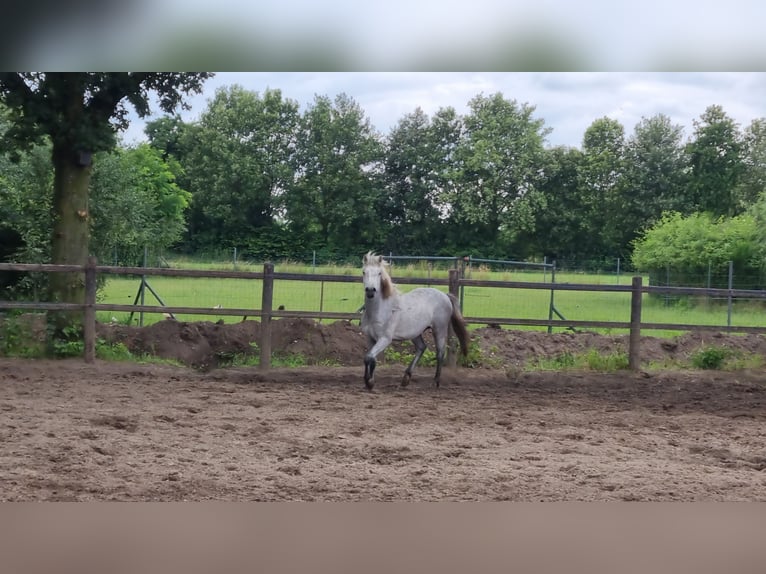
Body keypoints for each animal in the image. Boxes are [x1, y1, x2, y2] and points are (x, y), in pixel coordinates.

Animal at [364, 253, 472, 392]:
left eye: (379, 273)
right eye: (364, 272)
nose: (370, 290)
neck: (380, 310)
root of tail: (445, 295)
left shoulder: (385, 339)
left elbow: (369, 357)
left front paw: (369, 382)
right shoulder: (370, 338)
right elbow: (370, 358)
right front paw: (369, 381)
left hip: (439, 329)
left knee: (440, 353)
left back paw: (435, 382)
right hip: (415, 333)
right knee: (421, 347)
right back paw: (406, 378)